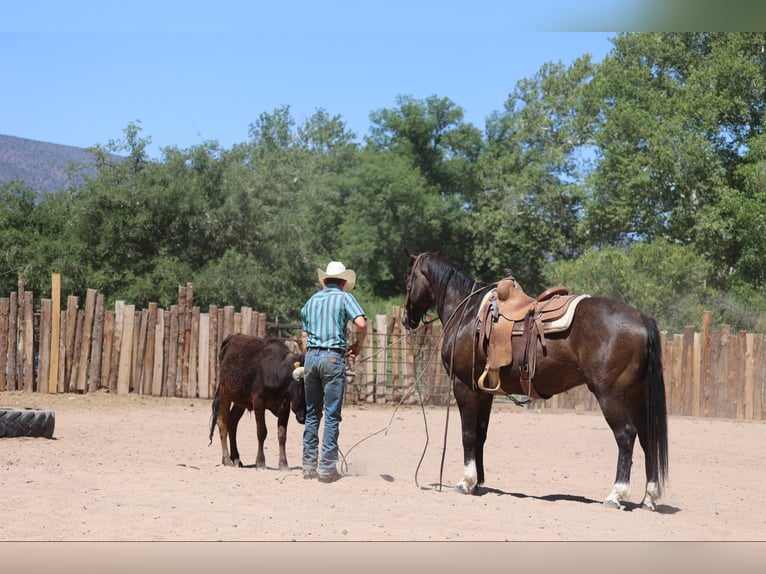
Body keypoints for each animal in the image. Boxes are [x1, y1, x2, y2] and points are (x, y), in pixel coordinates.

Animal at [402, 250, 668, 510]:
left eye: (408, 283)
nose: (406, 319)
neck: (467, 314)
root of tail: (641, 318)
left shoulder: (464, 386)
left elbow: (468, 434)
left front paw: (466, 481)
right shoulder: (484, 391)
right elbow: (480, 434)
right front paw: (478, 482)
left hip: (610, 395)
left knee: (626, 435)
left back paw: (616, 495)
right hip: (636, 396)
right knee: (648, 438)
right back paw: (649, 497)